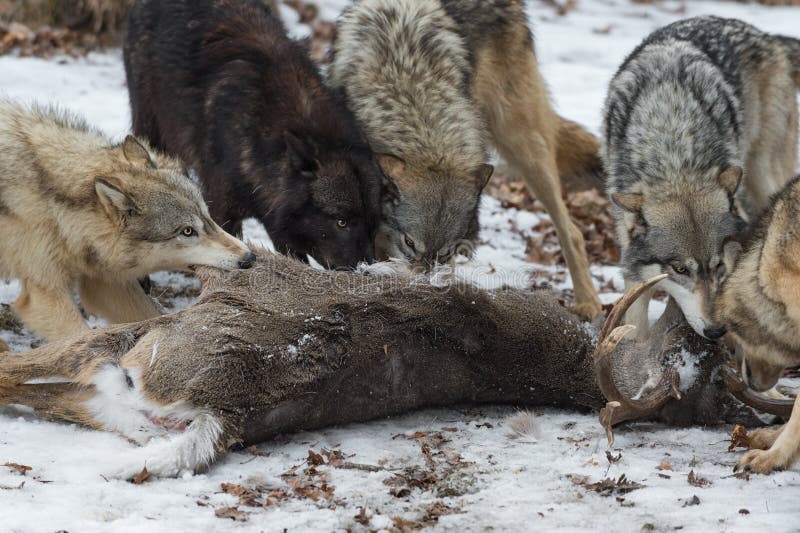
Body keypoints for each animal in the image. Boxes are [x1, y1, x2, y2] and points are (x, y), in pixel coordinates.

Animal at [0, 100, 253, 340]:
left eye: (208, 216)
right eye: (187, 231)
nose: (250, 258)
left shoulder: (105, 283)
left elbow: (152, 316)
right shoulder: (44, 293)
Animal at [330, 0, 600, 316]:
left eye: (445, 250)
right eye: (410, 242)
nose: (422, 286)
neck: (409, 82)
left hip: (525, 147)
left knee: (572, 231)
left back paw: (588, 302)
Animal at [608, 17, 800, 340]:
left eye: (719, 264)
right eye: (680, 270)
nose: (716, 330)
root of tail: (763, 34)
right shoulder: (632, 263)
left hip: (765, 174)